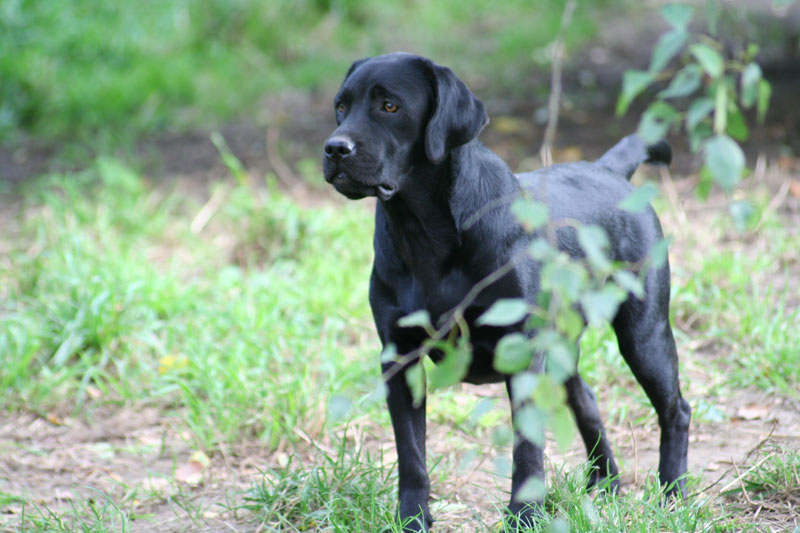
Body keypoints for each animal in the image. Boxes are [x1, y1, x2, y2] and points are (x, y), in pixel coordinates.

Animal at [322, 53, 692, 528]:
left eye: (390, 106)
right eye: (341, 106)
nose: (335, 148)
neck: (425, 236)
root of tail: (608, 169)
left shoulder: (522, 353)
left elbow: (527, 449)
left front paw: (525, 515)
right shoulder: (399, 358)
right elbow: (411, 452)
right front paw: (412, 518)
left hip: (644, 333)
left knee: (675, 410)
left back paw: (673, 493)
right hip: (564, 347)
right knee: (588, 402)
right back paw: (605, 482)